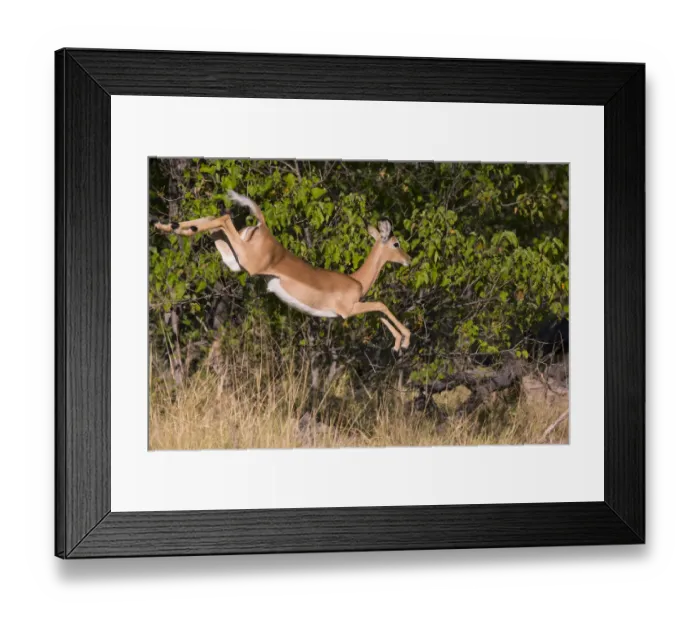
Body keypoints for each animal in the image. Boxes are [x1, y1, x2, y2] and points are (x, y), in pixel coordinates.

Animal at [154, 191, 413, 350]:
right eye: (396, 243)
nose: (409, 260)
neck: (356, 281)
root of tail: (262, 226)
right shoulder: (347, 311)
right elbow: (381, 305)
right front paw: (405, 341)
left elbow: (379, 313)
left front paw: (397, 344)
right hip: (247, 262)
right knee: (224, 218)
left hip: (233, 260)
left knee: (211, 218)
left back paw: (166, 226)